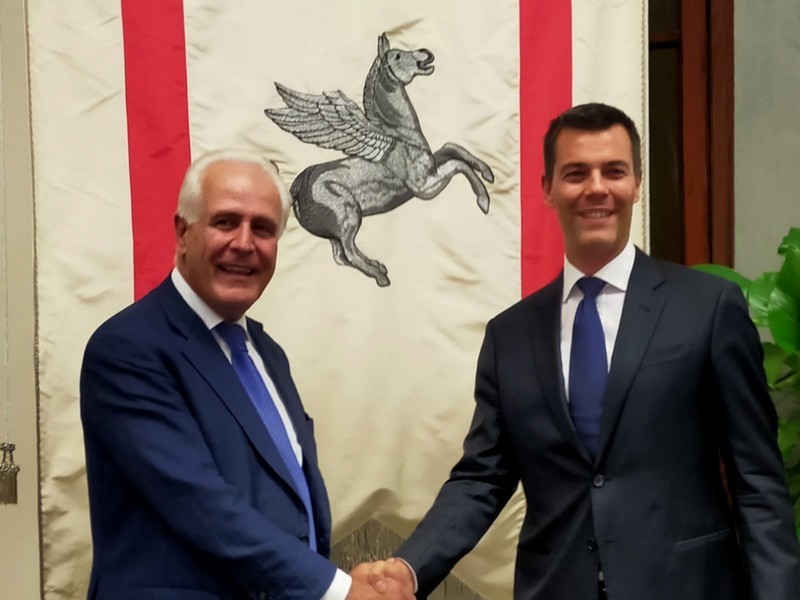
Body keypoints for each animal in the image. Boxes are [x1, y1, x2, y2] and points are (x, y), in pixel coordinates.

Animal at [265, 33, 493, 286]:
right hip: (349, 215)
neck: (399, 135)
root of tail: (293, 190)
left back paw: (377, 267)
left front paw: (489, 173)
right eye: (397, 55)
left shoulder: (431, 168)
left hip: (336, 229)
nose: (426, 52)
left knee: (341, 256)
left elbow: (453, 147)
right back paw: (381, 275)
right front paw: (484, 201)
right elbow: (457, 164)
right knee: (349, 253)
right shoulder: (424, 187)